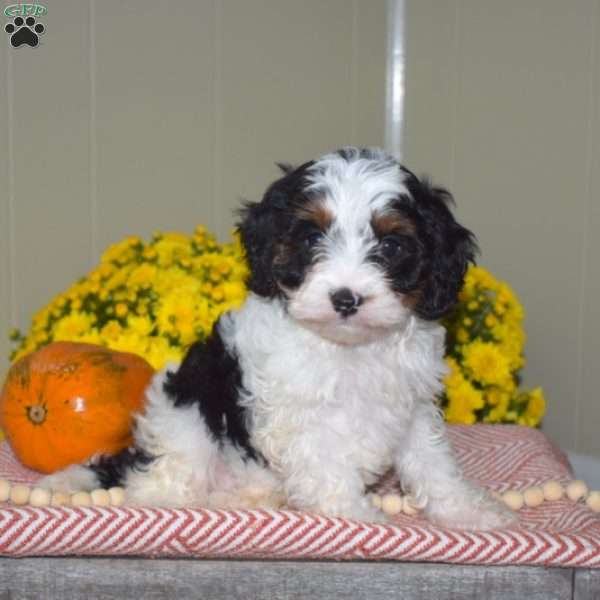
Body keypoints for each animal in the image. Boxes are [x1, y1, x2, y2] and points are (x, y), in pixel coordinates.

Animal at [39, 146, 512, 528]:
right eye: (311, 237)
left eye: (391, 246)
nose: (346, 299)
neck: (349, 348)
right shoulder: (297, 412)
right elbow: (326, 464)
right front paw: (356, 516)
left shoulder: (411, 407)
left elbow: (432, 462)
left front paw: (468, 511)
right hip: (186, 413)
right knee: (165, 479)